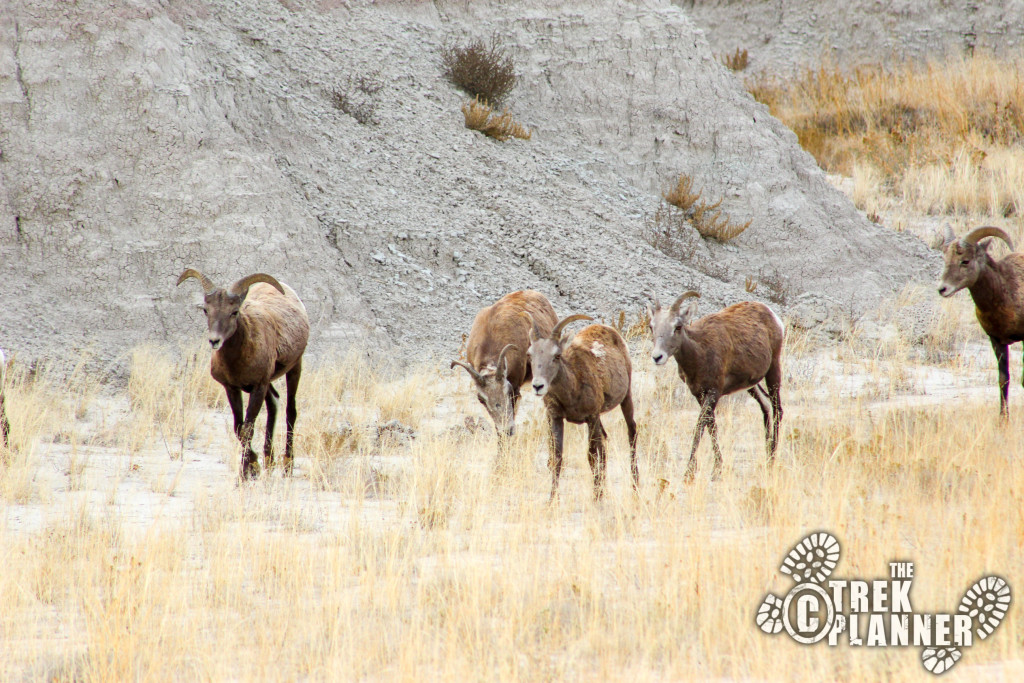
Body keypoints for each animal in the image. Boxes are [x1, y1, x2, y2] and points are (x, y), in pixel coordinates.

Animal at [177, 268, 307, 481]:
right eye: (206, 310)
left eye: (234, 312)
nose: (214, 341)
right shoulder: (232, 388)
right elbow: (239, 429)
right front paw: (252, 469)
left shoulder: (258, 387)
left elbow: (247, 429)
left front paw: (247, 473)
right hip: (269, 384)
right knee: (274, 403)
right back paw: (269, 462)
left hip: (294, 368)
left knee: (290, 411)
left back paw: (287, 466)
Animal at [532, 315, 634, 501]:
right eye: (530, 355)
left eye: (557, 355)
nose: (538, 386)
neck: (573, 388)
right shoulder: (556, 418)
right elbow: (557, 458)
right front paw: (552, 500)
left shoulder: (591, 417)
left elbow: (591, 456)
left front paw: (596, 498)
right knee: (604, 444)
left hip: (626, 398)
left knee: (632, 434)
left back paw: (635, 487)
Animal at [647, 292, 782, 481]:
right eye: (652, 326)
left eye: (678, 327)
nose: (657, 357)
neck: (700, 353)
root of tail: (772, 314)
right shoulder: (699, 394)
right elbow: (711, 426)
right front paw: (717, 469)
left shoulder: (714, 392)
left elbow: (700, 426)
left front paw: (689, 472)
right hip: (751, 385)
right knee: (766, 407)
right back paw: (767, 455)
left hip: (773, 370)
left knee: (777, 410)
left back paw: (772, 461)